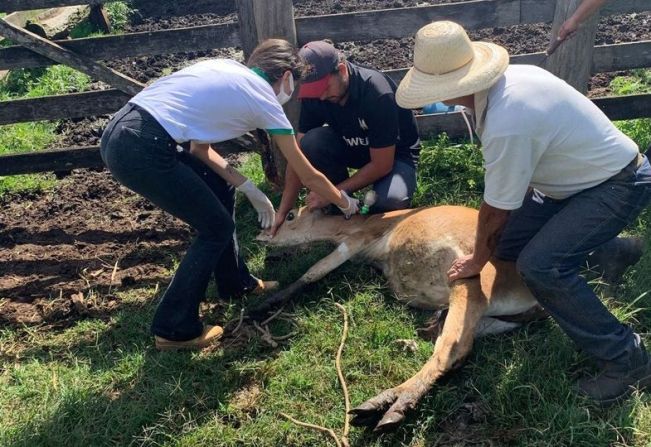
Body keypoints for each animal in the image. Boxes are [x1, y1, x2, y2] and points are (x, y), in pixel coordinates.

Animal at [255, 206, 544, 434]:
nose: (262, 235)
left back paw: (387, 406)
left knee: (452, 349)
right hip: (490, 317)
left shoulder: (359, 238)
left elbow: (315, 270)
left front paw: (266, 303)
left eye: (290, 215)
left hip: (468, 278)